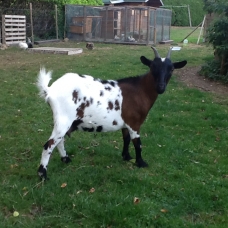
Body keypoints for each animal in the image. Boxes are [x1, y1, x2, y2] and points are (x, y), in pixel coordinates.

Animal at [36, 46, 187, 180]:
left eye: (171, 69)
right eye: (153, 67)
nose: (161, 87)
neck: (139, 90)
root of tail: (50, 90)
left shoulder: (126, 123)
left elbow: (126, 139)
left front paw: (126, 156)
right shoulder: (134, 123)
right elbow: (137, 143)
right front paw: (141, 163)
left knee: (59, 141)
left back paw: (66, 159)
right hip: (64, 119)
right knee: (49, 144)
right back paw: (42, 175)